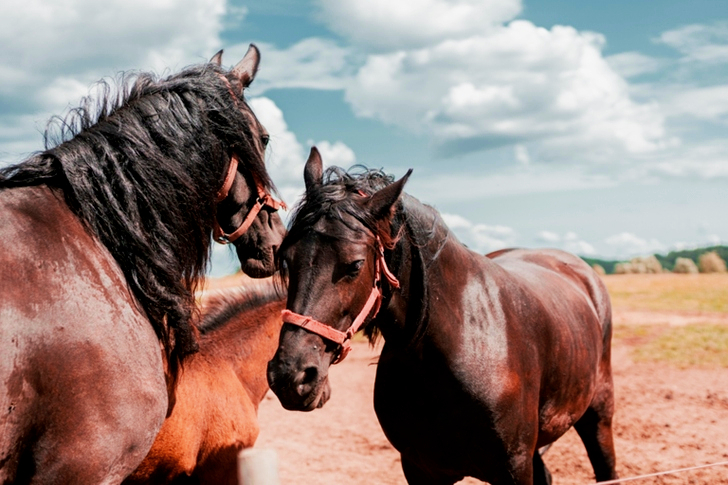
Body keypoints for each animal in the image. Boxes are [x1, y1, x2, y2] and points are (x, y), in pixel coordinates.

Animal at [267, 147, 618, 485]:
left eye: (354, 265)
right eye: (286, 258)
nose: (291, 376)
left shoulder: (514, 468)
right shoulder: (421, 470)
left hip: (598, 415)